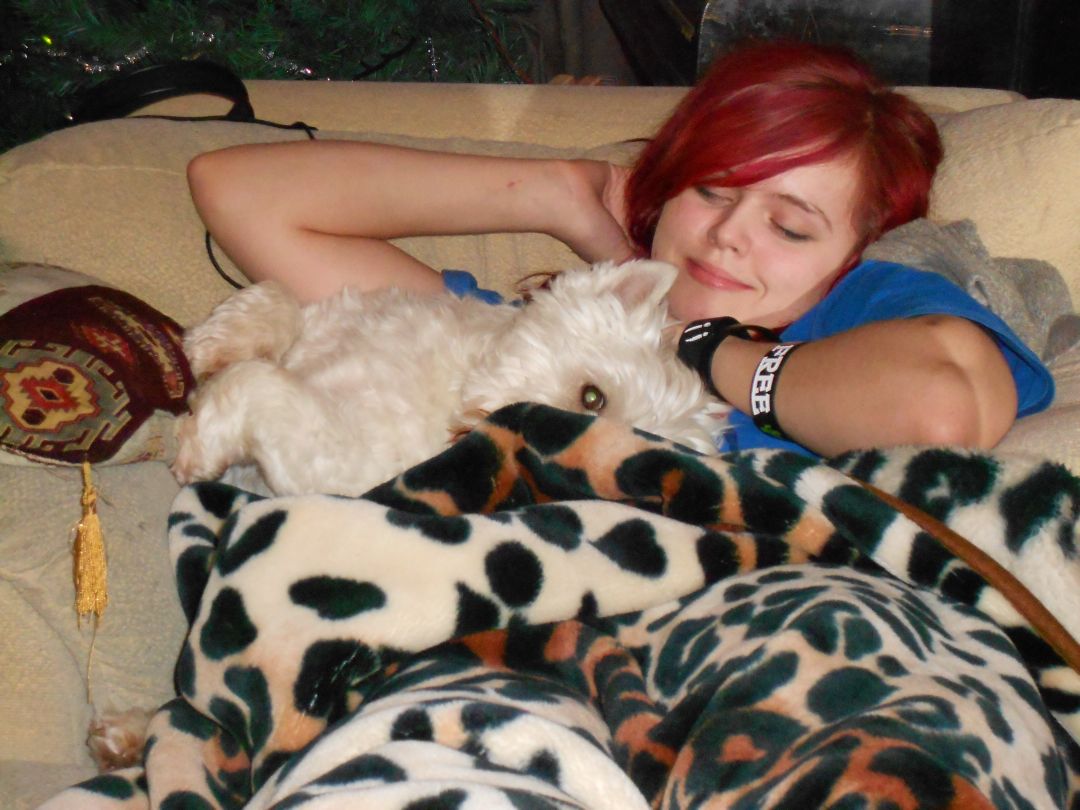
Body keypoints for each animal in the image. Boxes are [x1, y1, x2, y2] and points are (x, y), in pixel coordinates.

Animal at [172, 259, 728, 497]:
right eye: (593, 398)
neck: (456, 377)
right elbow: (281, 297)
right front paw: (213, 345)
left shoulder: (331, 460)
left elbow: (256, 383)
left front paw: (195, 447)